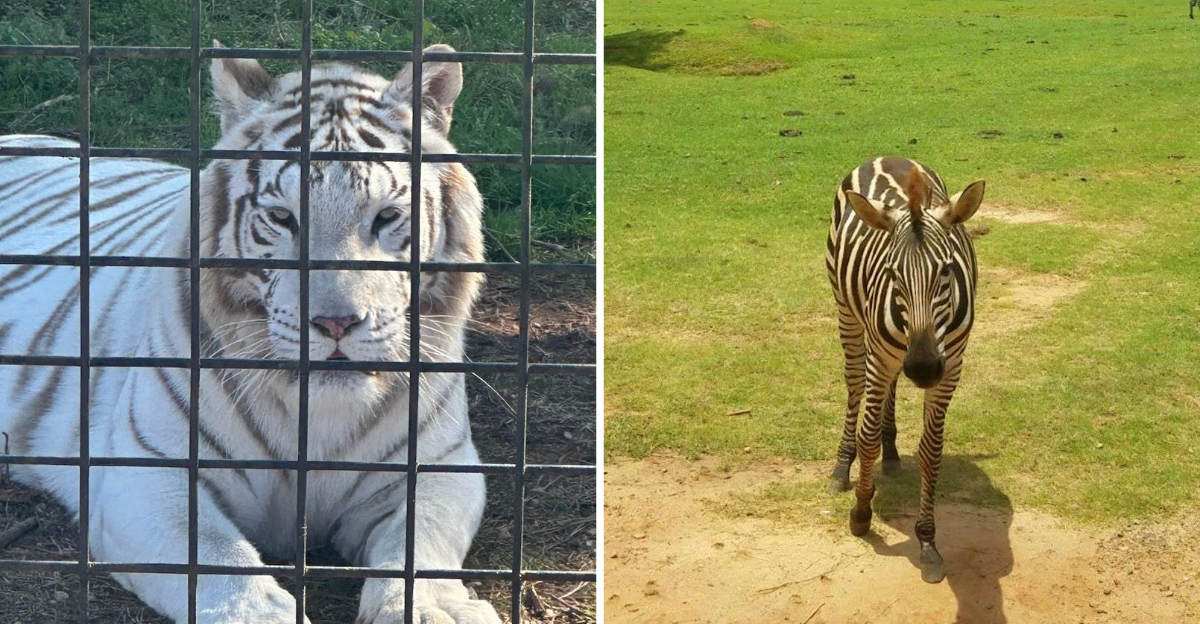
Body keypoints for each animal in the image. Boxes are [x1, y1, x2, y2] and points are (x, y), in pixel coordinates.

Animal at [824, 157, 986, 583]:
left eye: (946, 271)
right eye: (893, 274)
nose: (924, 367)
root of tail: (885, 156)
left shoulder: (952, 366)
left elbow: (931, 451)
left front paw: (927, 541)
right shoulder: (882, 357)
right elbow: (866, 437)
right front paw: (861, 513)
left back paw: (892, 451)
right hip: (848, 314)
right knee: (854, 384)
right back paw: (842, 466)